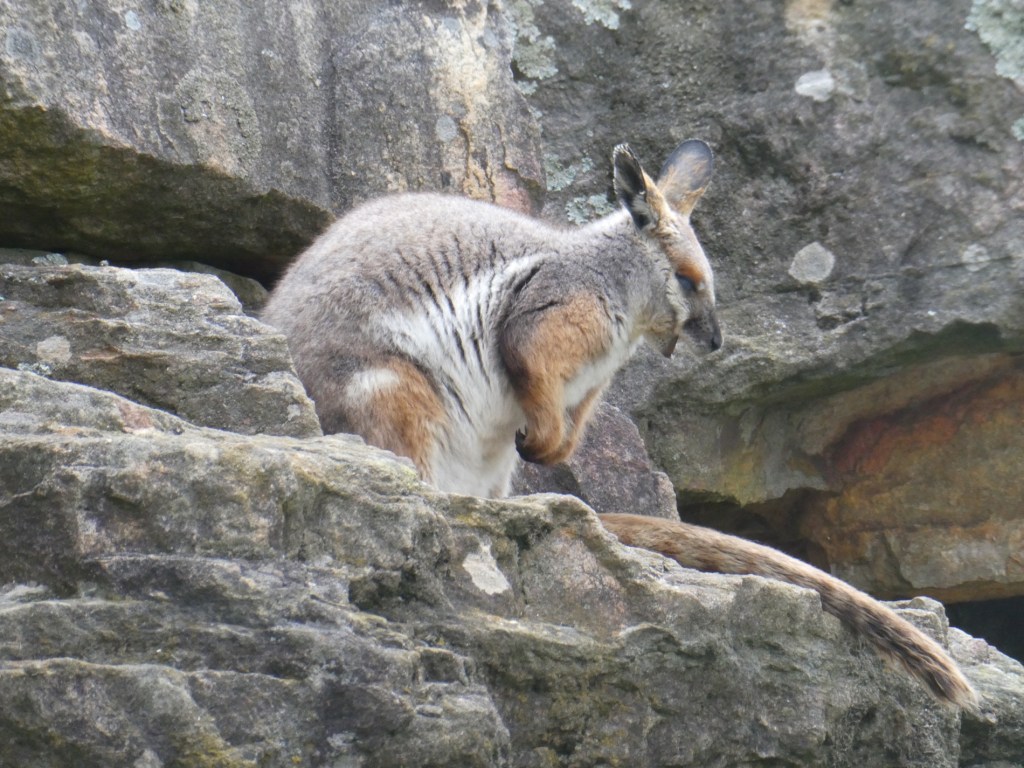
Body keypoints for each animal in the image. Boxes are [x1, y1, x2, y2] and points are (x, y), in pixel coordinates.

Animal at [262, 140, 978, 711]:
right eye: (688, 281)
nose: (717, 343)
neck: (623, 300)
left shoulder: (587, 384)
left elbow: (566, 426)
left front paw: (549, 445)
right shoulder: (546, 322)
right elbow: (529, 366)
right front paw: (540, 438)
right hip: (391, 389)